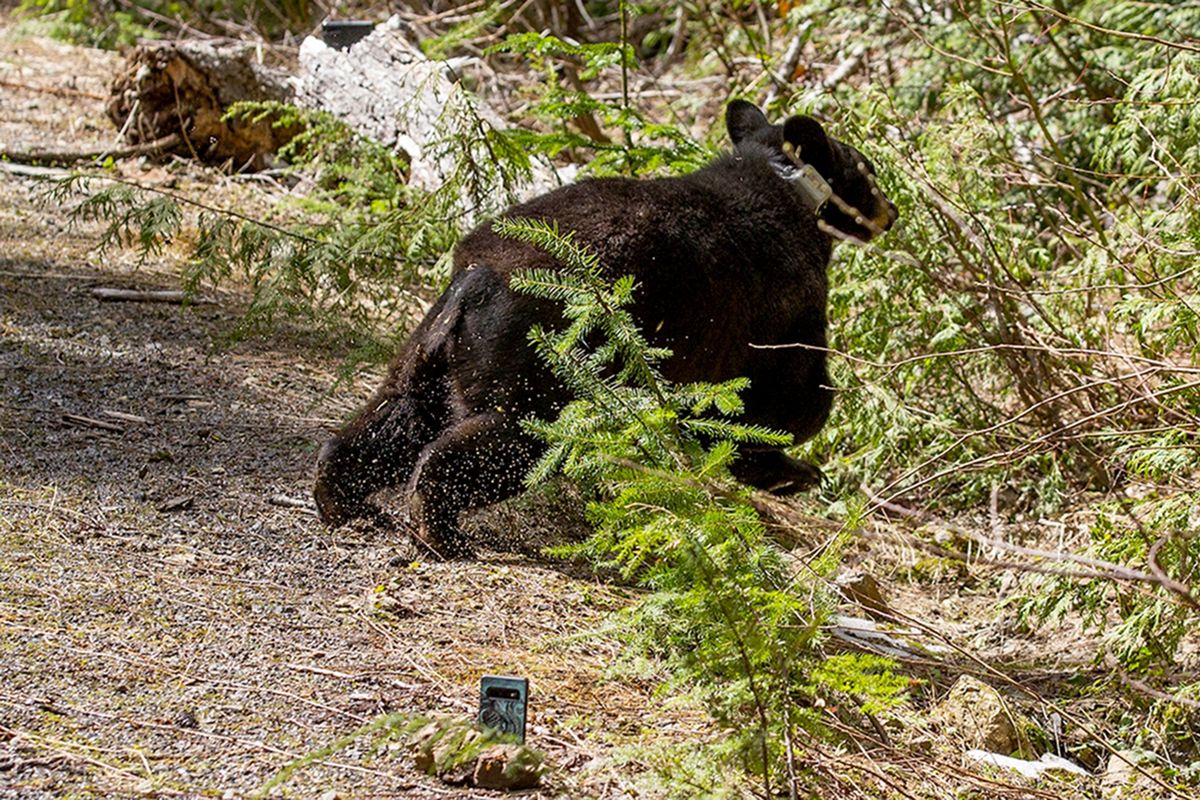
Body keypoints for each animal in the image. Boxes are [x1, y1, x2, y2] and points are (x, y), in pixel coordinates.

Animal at [314, 100, 897, 561]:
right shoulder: (781, 306)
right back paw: (439, 529)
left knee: (393, 420)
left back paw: (339, 495)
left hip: (432, 352)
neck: (784, 187)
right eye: (868, 169)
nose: (890, 212)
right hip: (545, 367)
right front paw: (791, 466)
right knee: (506, 441)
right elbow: (788, 397)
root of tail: (476, 282)